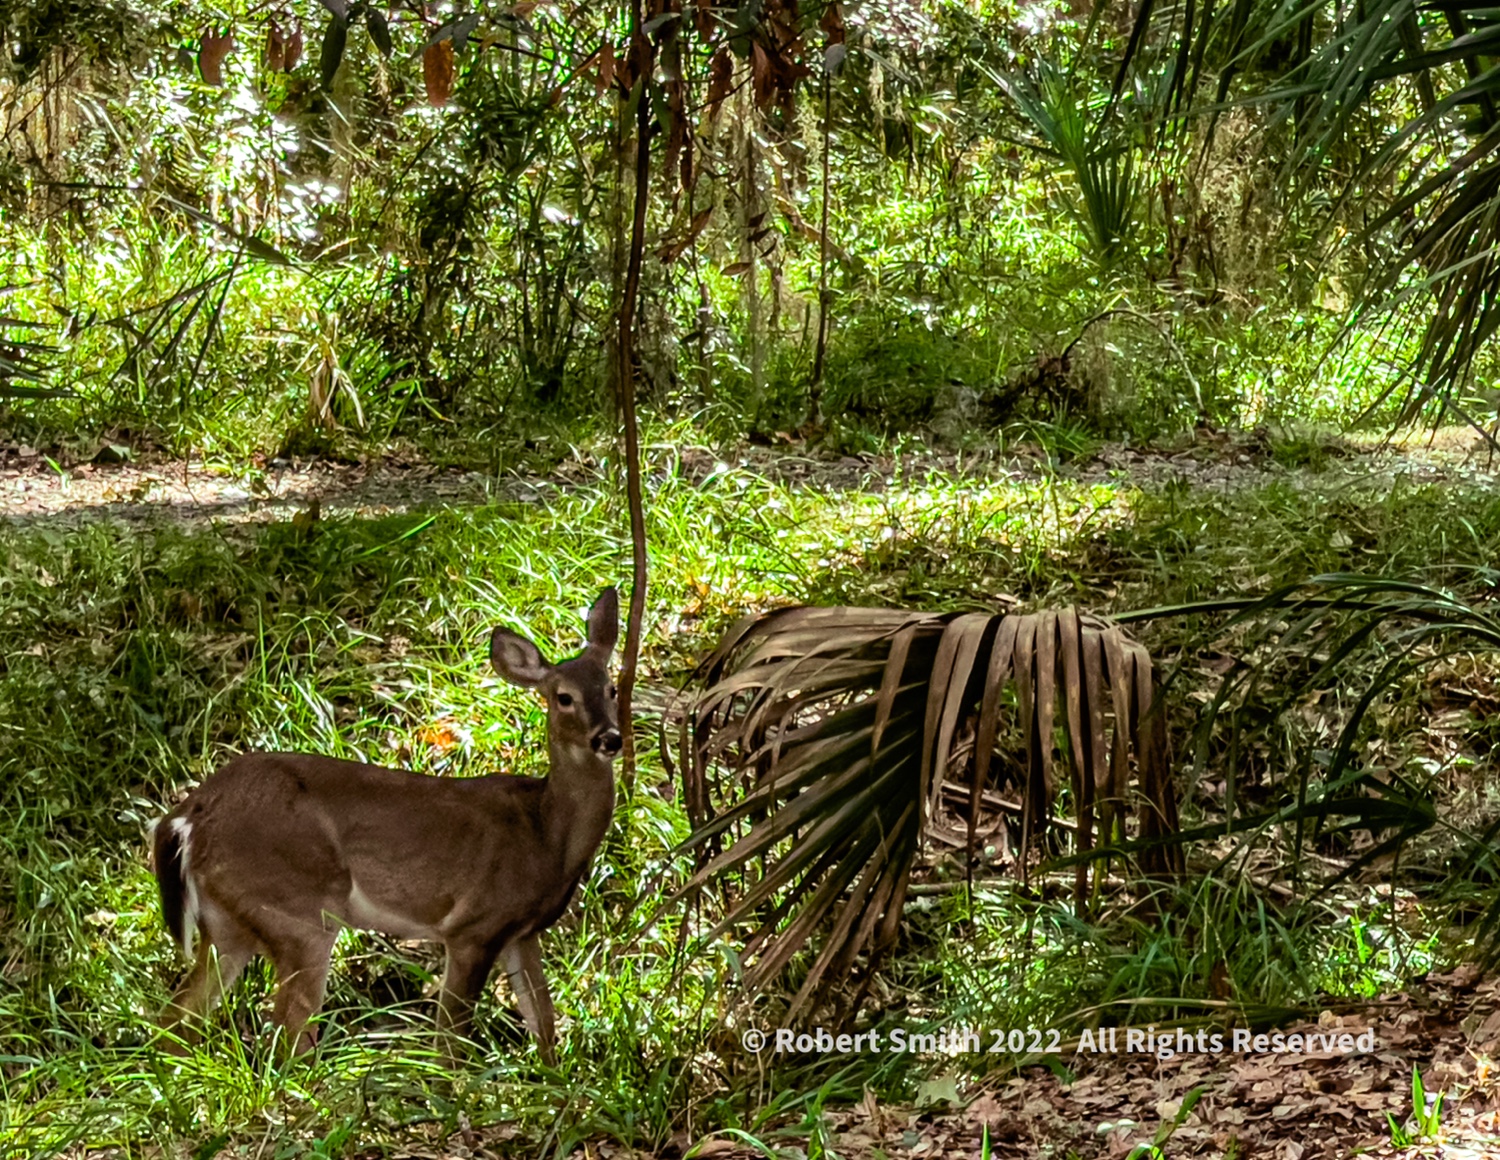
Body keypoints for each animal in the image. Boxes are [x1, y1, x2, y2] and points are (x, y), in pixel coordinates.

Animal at [151, 588, 622, 1064]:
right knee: (284, 1041)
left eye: (612, 688)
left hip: (230, 924)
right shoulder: (474, 925)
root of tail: (188, 815)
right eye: (563, 697)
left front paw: (551, 1078)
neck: (546, 835)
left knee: (176, 1020)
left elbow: (544, 1024)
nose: (609, 738)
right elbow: (450, 1041)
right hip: (296, 913)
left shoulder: (521, 934)